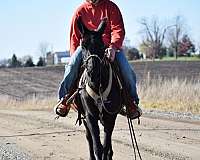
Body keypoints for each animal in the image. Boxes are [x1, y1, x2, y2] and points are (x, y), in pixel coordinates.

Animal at [76, 16, 122, 159]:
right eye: (83, 46)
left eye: (102, 45)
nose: (93, 72)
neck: (97, 86)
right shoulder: (90, 116)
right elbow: (97, 146)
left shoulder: (110, 116)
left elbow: (106, 146)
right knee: (89, 138)